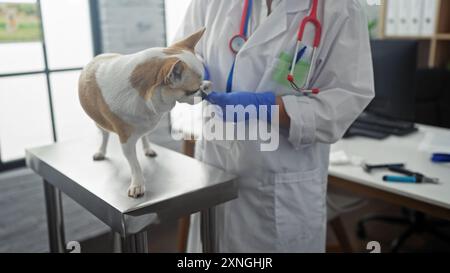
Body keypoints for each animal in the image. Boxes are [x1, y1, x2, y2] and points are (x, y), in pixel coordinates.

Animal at [78, 28, 211, 198]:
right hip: (99, 123)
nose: (204, 92)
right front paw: (138, 184)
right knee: (105, 135)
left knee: (144, 135)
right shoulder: (126, 142)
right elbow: (135, 164)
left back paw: (147, 148)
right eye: (192, 91)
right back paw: (101, 151)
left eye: (199, 86)